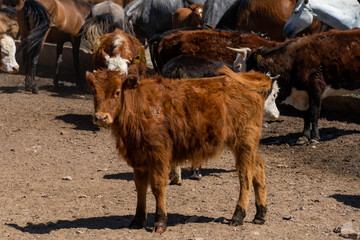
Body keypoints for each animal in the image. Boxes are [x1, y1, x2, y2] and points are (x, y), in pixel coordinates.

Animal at [87, 66, 272, 232]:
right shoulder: (139, 158)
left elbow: (157, 186)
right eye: (94, 91)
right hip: (247, 146)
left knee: (245, 176)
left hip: (244, 142)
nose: (101, 117)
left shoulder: (159, 155)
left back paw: (238, 216)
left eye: (117, 92)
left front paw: (160, 221)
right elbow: (140, 188)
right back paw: (260, 215)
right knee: (258, 166)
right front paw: (138, 220)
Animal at [231, 27, 360, 145]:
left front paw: (314, 138)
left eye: (239, 66)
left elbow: (314, 113)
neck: (293, 60)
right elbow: (306, 115)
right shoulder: (304, 93)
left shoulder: (316, 88)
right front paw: (304, 136)